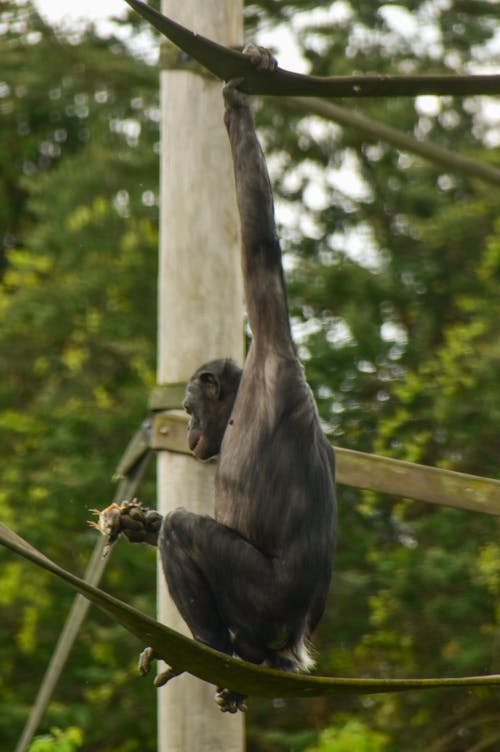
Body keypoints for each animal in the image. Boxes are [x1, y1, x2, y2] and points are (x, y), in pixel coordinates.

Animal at [94, 44, 336, 712]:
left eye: (188, 406)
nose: (189, 430)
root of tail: (292, 649)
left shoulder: (272, 347)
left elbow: (259, 246)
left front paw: (239, 96)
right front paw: (136, 522)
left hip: (262, 603)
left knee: (189, 534)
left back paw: (208, 654)